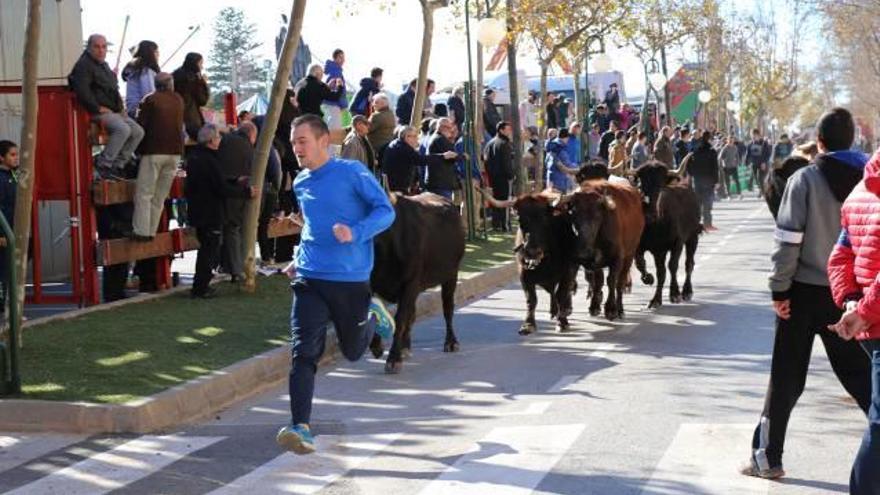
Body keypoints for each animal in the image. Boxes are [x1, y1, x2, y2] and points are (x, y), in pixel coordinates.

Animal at [372, 192, 468, 374]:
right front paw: (377, 348)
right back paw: (405, 346)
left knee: (448, 309)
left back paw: (451, 342)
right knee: (413, 314)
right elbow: (374, 314)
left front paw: (393, 359)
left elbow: (400, 318)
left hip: (451, 275)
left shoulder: (410, 283)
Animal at [632, 163, 700, 308]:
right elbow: (643, 265)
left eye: (661, 186)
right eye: (641, 185)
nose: (651, 213)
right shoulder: (646, 248)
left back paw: (687, 291)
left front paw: (674, 294)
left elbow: (672, 266)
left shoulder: (677, 243)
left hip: (693, 238)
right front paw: (650, 282)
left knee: (689, 263)